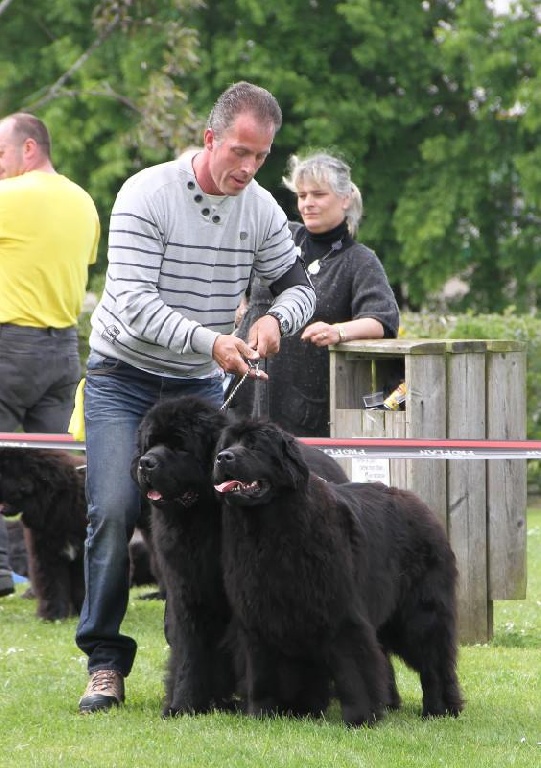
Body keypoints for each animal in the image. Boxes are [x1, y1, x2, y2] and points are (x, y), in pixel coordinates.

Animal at [131, 396, 346, 720]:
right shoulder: (187, 593)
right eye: (150, 443)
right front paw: (182, 704)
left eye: (180, 446)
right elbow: (189, 653)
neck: (202, 518)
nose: (146, 462)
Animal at [213, 420, 462, 728]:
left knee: (434, 660)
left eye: (254, 446)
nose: (223, 458)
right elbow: (262, 672)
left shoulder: (341, 614)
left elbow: (354, 669)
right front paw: (267, 713)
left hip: (421, 613)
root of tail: (420, 505)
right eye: (226, 445)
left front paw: (360, 718)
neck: (270, 532)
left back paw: (440, 709)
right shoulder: (260, 617)